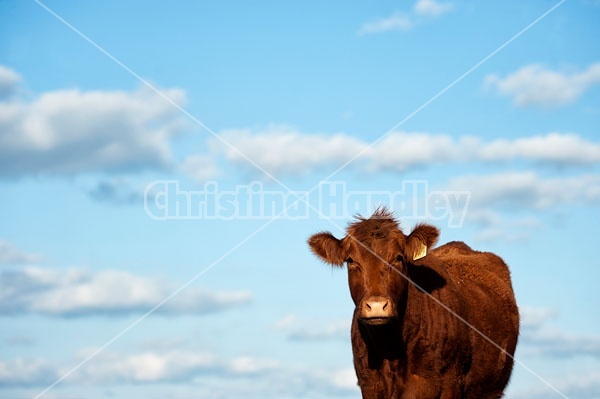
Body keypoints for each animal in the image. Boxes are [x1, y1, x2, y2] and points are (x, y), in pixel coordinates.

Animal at [308, 209, 516, 399]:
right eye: (351, 260)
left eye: (398, 257)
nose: (377, 306)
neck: (390, 348)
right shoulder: (369, 384)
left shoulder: (448, 383)